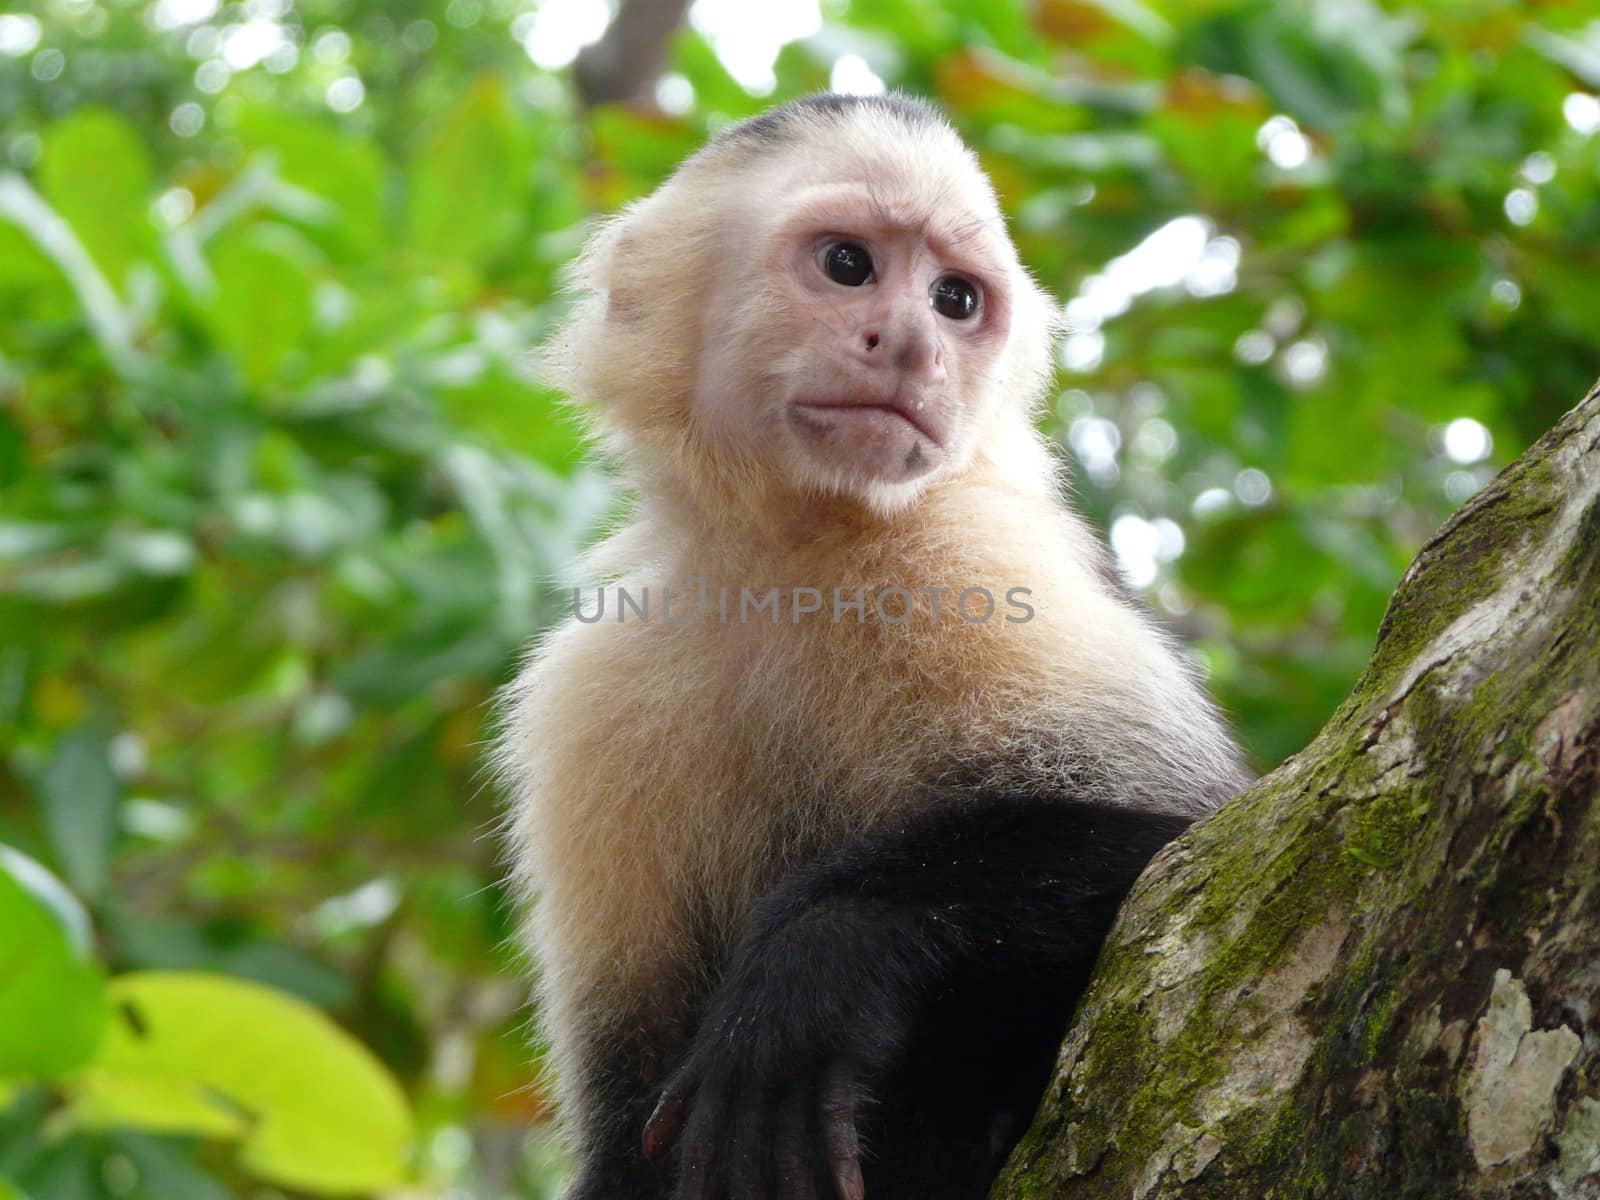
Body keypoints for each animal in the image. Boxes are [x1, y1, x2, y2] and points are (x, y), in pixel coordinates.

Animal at [499, 94, 1248, 1200]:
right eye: (848, 264)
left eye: (954, 299)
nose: (911, 347)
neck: (794, 551)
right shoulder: (588, 693)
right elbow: (626, 1118)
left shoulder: (976, 558)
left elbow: (1181, 837)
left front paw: (816, 965)